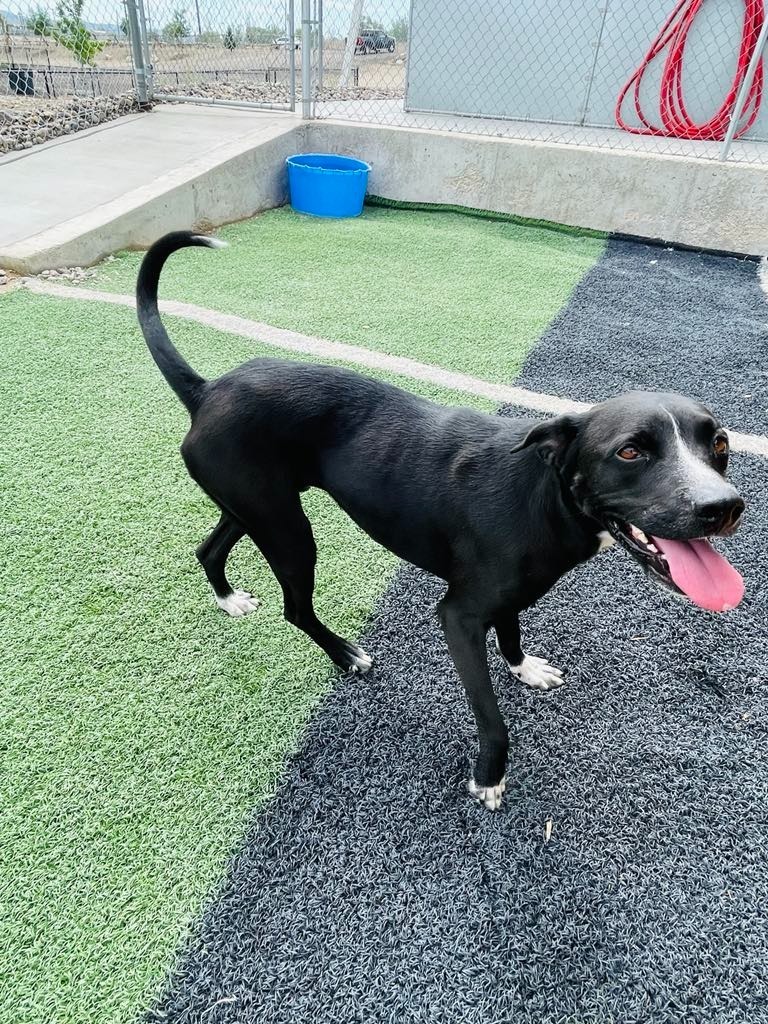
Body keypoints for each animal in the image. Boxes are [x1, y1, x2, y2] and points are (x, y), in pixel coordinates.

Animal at [137, 232, 745, 806]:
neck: (544, 495)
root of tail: (207, 390)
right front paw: (489, 776)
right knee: (294, 607)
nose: (724, 507)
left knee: (209, 548)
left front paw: (523, 668)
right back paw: (345, 654)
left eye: (718, 443)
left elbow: (512, 631)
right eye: (630, 452)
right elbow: (492, 714)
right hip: (287, 529)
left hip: (252, 508)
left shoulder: (506, 597)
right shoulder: (458, 617)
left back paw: (228, 598)